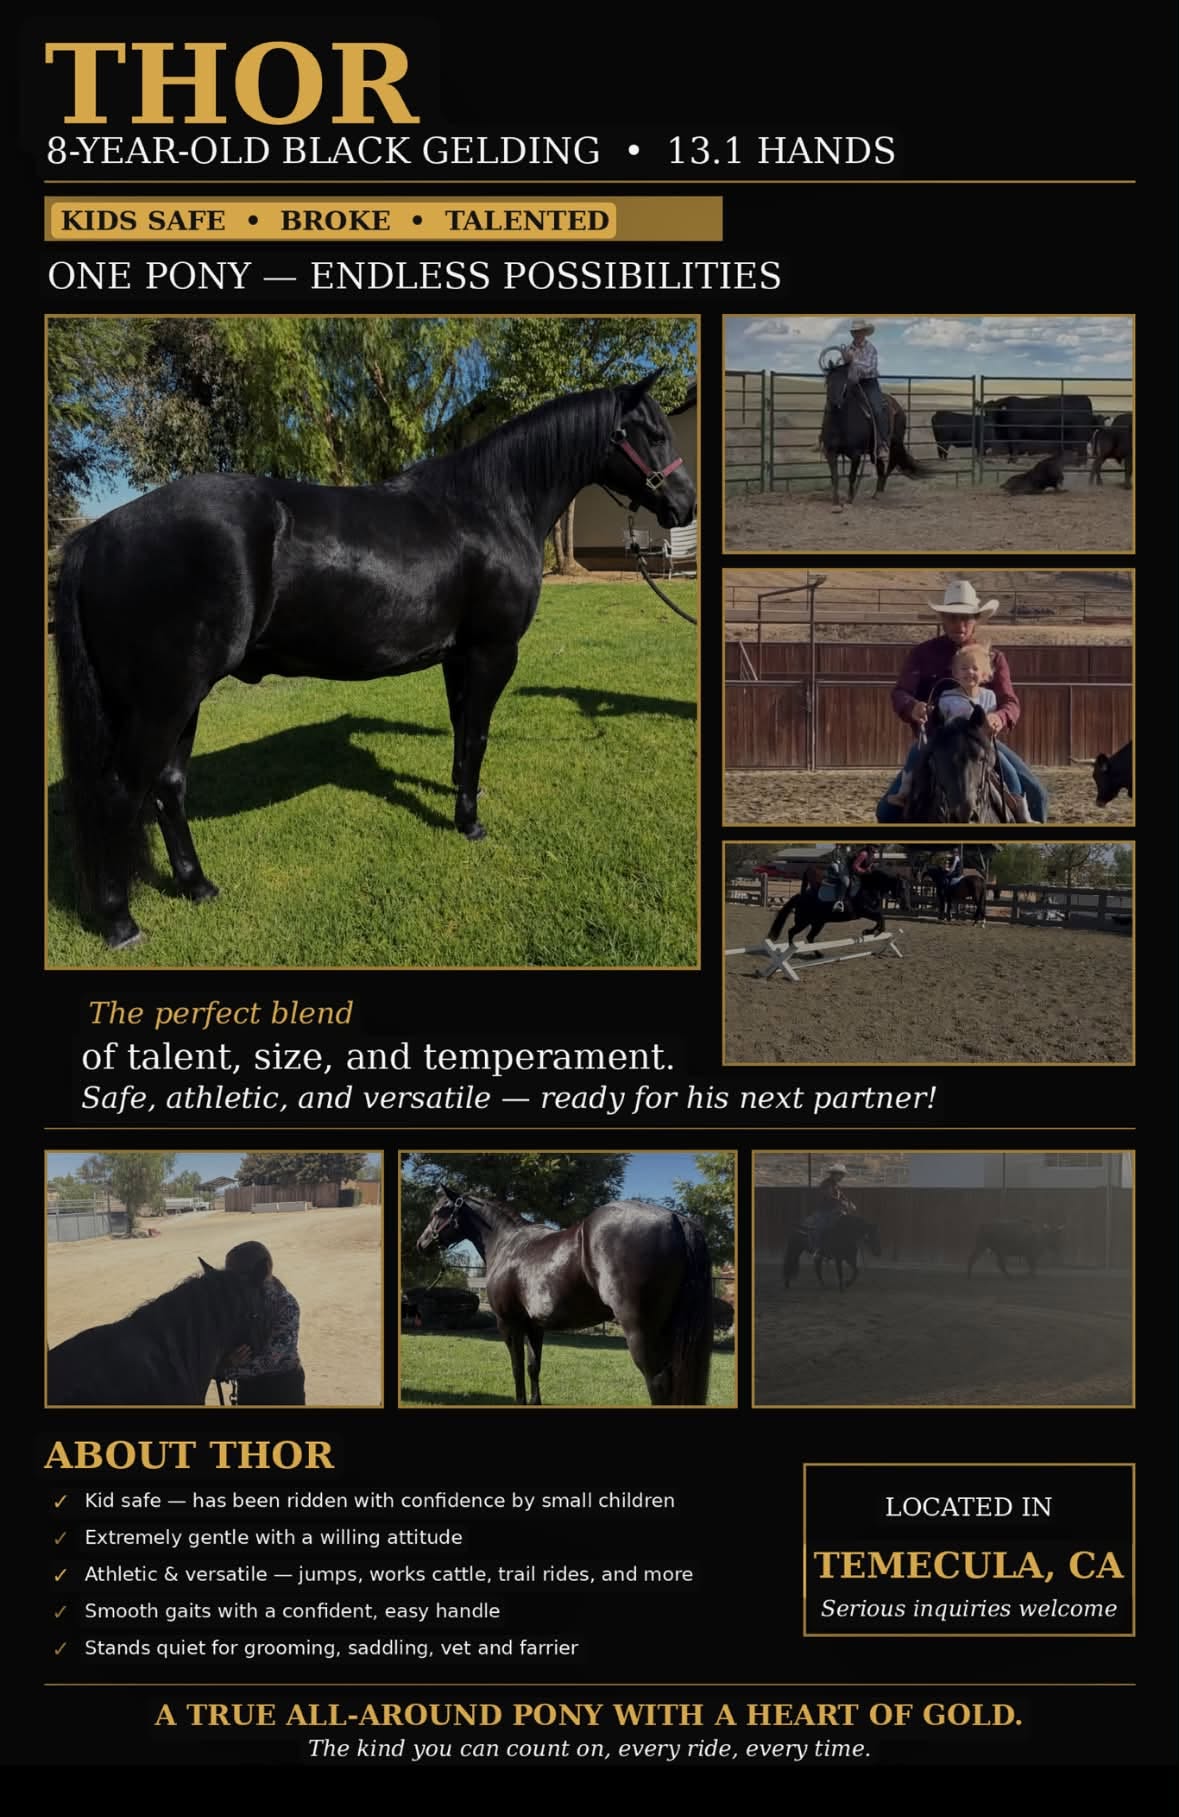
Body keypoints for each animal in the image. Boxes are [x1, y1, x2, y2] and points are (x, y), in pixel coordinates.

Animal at [53, 371, 696, 949]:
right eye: (653, 434)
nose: (685, 504)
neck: (492, 507)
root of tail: (98, 534)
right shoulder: (493, 651)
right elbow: (479, 734)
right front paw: (470, 822)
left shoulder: (457, 656)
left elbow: (461, 731)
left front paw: (461, 795)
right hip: (164, 700)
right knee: (120, 793)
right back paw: (120, 923)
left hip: (175, 701)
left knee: (168, 787)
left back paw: (197, 886)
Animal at [416, 1185, 712, 1406]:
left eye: (439, 1210)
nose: (422, 1244)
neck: (508, 1244)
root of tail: (675, 1219)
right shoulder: (534, 1325)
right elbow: (533, 1367)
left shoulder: (509, 1323)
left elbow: (516, 1368)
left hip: (641, 1330)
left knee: (659, 1381)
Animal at [818, 354, 924, 506]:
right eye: (828, 381)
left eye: (845, 383)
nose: (835, 403)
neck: (840, 424)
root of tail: (898, 406)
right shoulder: (830, 452)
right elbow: (835, 477)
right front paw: (836, 501)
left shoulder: (856, 454)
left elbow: (851, 476)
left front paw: (850, 499)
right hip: (874, 451)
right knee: (880, 467)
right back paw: (876, 493)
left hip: (895, 443)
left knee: (890, 465)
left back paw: (879, 493)